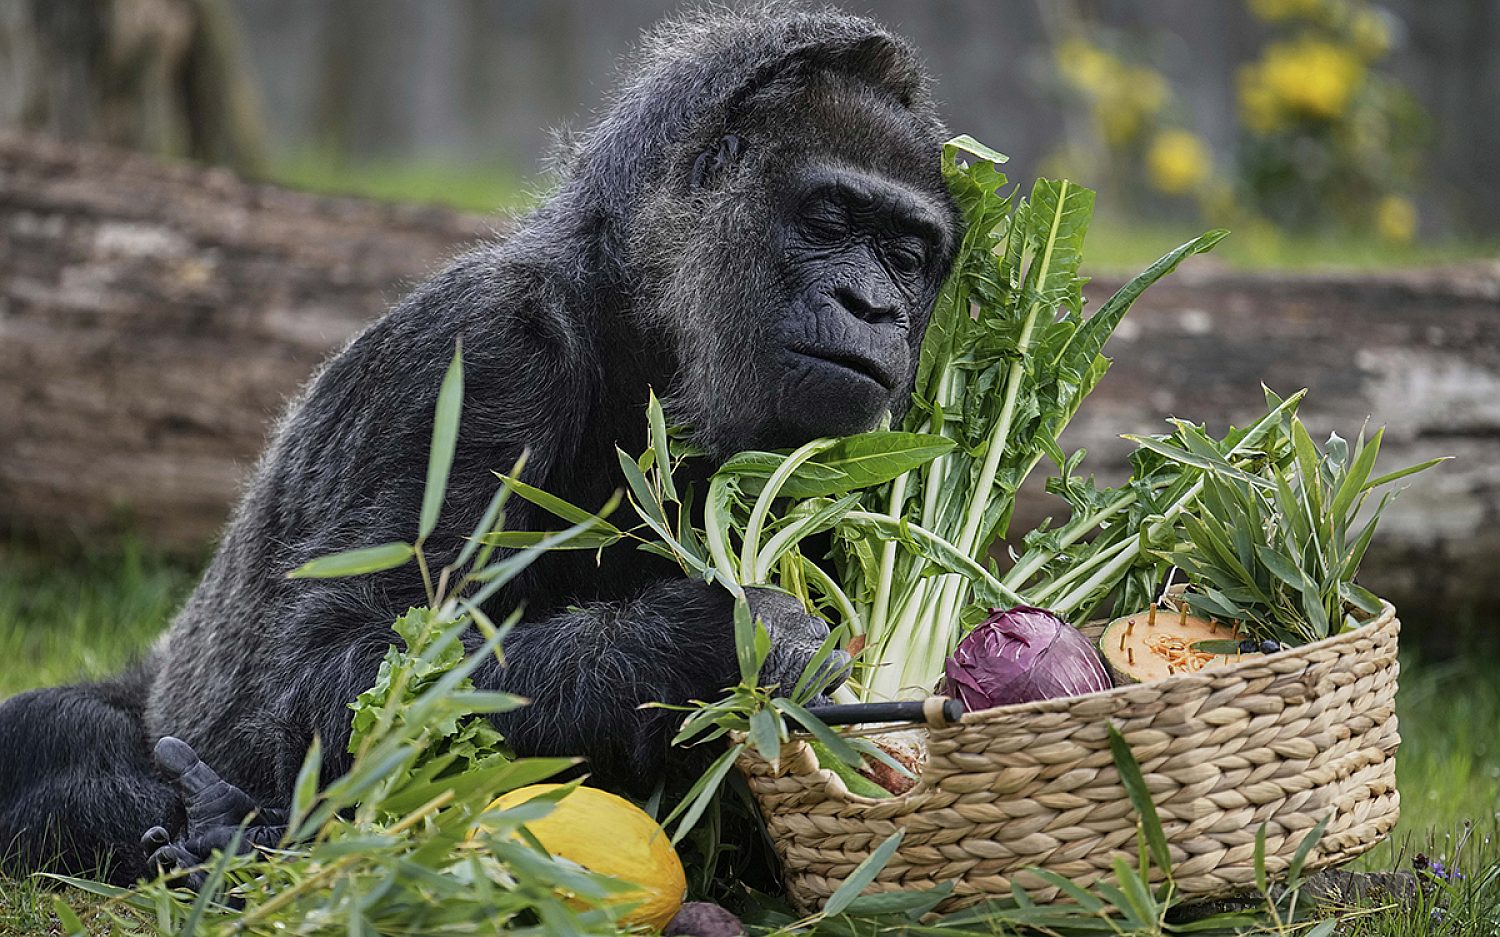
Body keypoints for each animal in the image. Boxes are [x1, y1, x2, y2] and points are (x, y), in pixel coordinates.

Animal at [0, 5, 961, 884]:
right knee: (61, 740)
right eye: (828, 220)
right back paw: (222, 831)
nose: (874, 307)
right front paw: (719, 637)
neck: (645, 327)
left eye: (906, 255)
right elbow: (334, 675)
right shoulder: (481, 348)